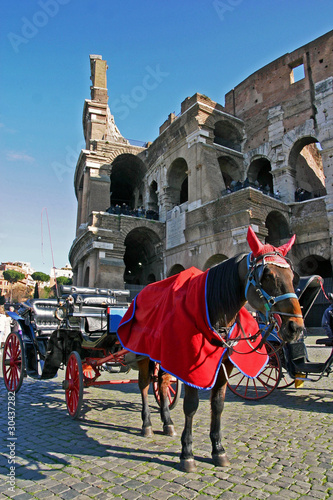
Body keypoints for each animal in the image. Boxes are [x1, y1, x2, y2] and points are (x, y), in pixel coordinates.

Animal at [121, 229, 300, 470]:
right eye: (267, 275)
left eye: (292, 276)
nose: (295, 327)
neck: (213, 310)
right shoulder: (189, 366)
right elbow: (191, 406)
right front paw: (187, 452)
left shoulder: (224, 366)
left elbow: (218, 405)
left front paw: (218, 449)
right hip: (142, 354)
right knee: (143, 385)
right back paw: (147, 423)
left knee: (163, 384)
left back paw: (167, 422)